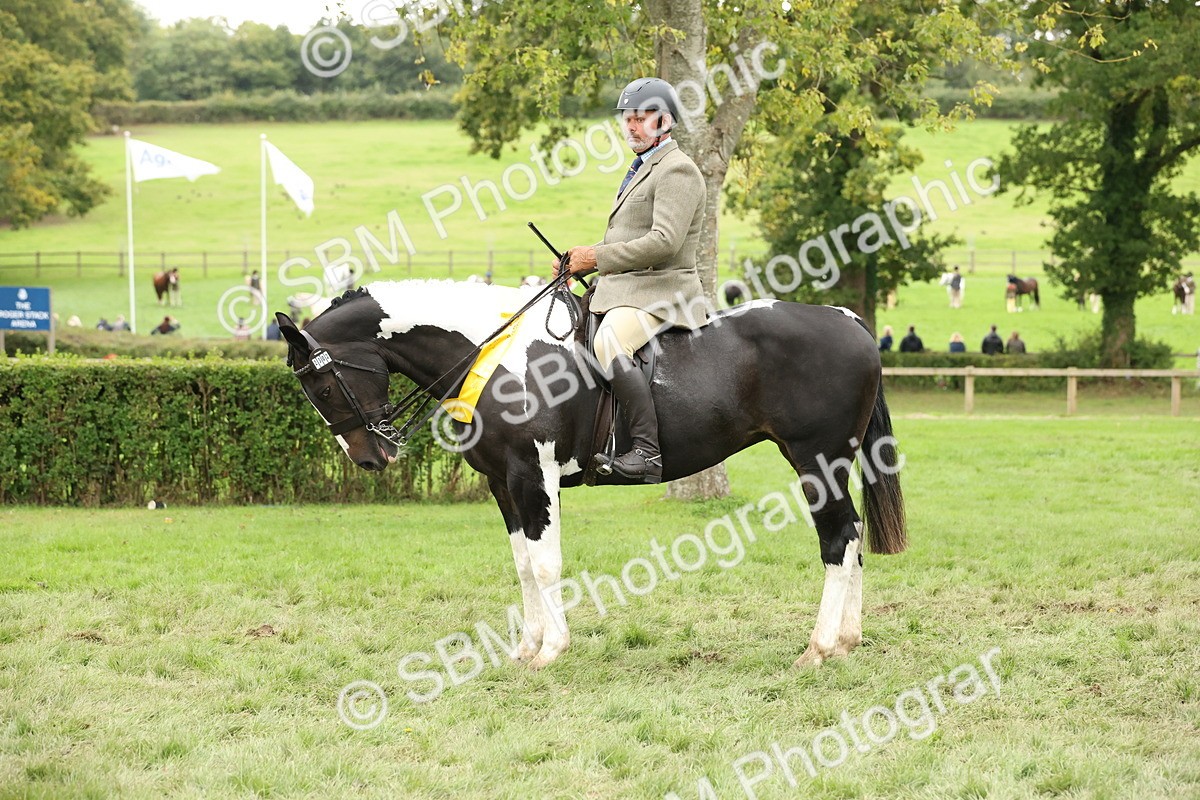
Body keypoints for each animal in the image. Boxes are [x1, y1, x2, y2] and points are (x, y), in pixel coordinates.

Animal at [276, 280, 907, 670]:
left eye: (323, 387)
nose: (369, 457)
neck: (495, 356)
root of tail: (847, 320)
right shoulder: (501, 484)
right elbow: (523, 565)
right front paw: (525, 646)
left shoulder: (534, 476)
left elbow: (546, 563)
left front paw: (551, 649)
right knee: (852, 538)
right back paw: (846, 641)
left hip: (816, 459)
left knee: (838, 538)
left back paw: (820, 647)